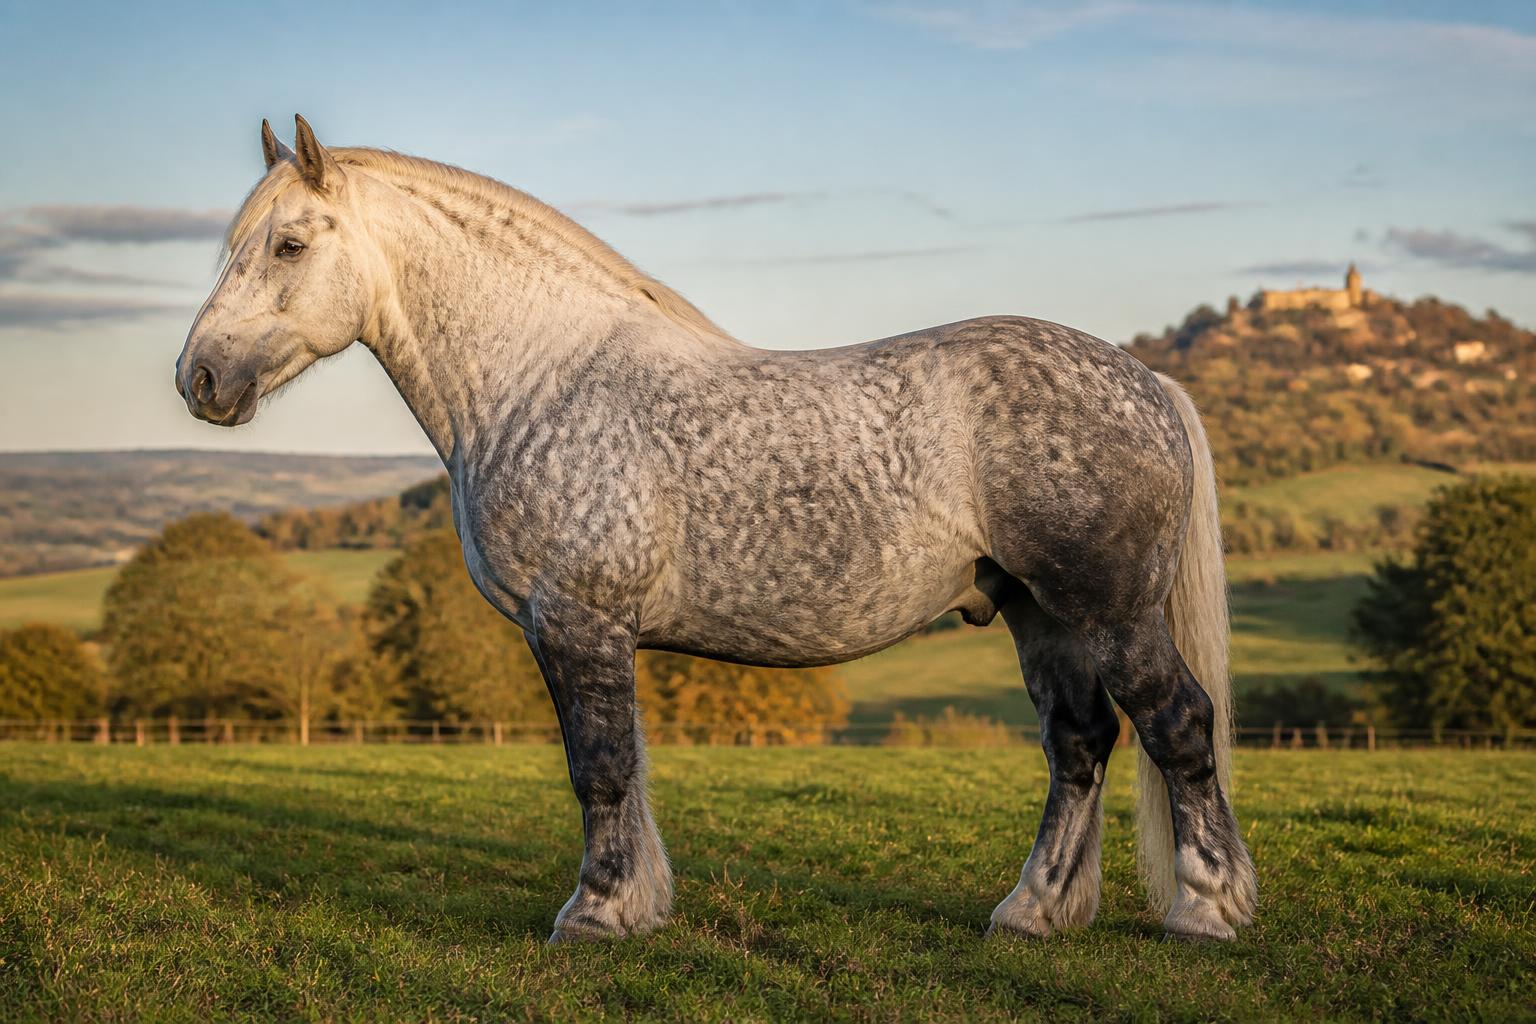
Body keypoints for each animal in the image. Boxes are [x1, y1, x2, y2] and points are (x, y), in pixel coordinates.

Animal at [176, 116, 1256, 943]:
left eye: (289, 244)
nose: (201, 379)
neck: (542, 378)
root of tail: (1149, 382)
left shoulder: (579, 623)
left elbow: (603, 767)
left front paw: (597, 914)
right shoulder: (583, 634)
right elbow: (616, 767)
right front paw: (634, 904)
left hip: (1110, 613)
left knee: (1176, 725)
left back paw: (1205, 911)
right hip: (1041, 615)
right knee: (1079, 744)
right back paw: (1031, 912)